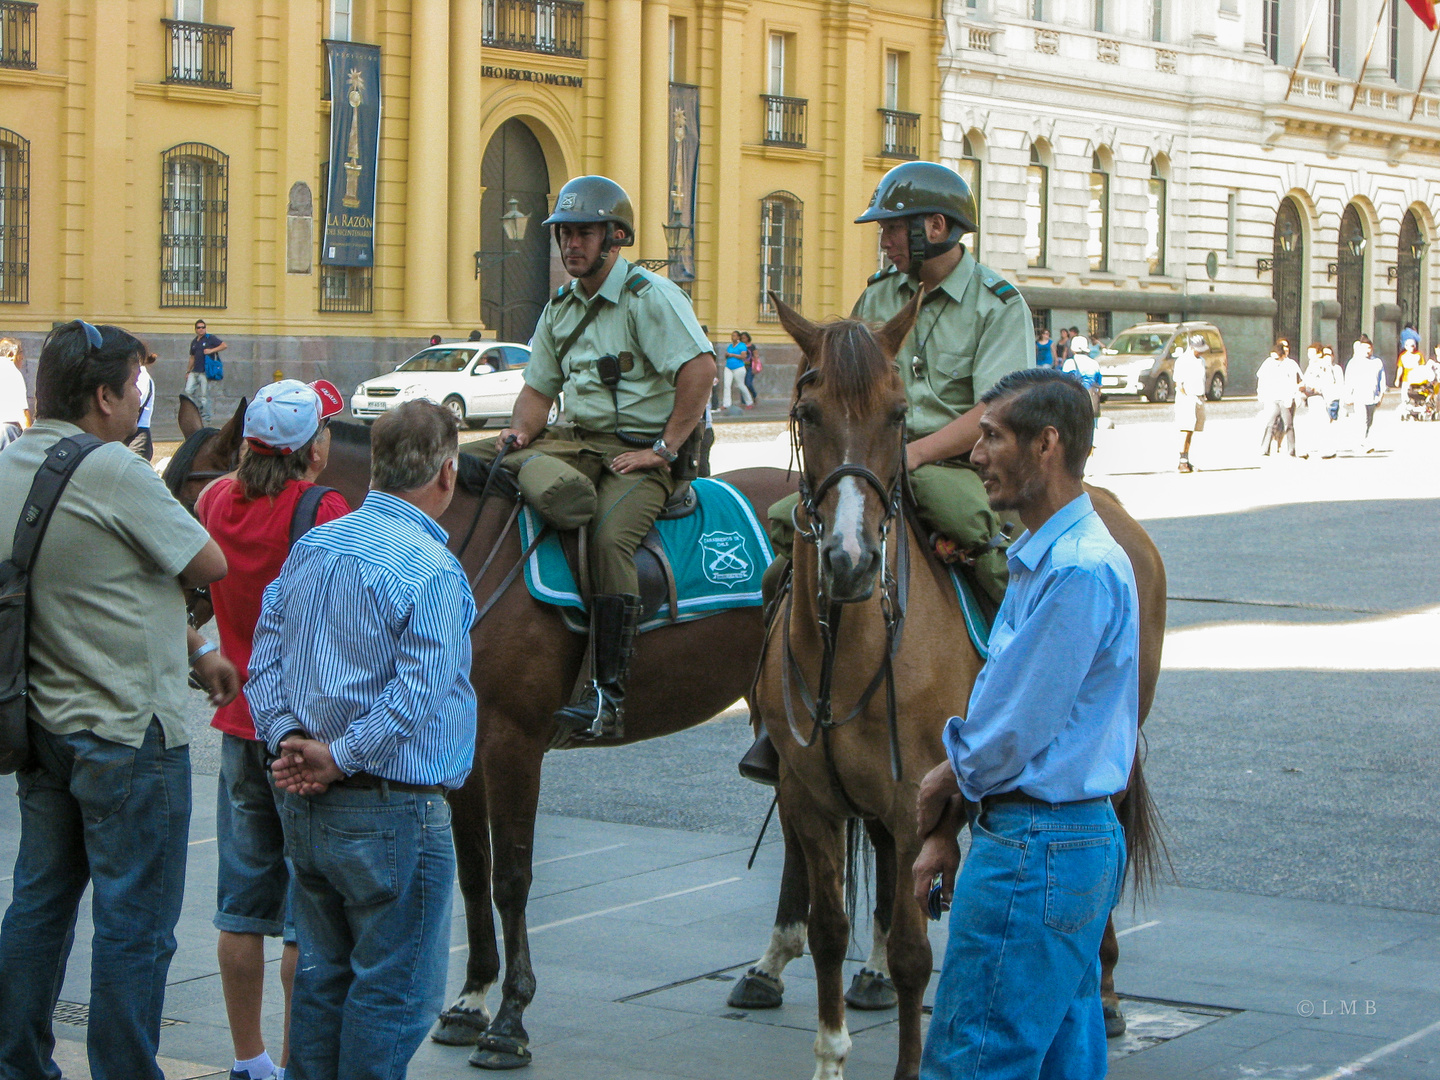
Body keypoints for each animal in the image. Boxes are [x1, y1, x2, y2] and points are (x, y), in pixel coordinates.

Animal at [169, 397, 806, 1077]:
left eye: (192, 508)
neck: (456, 553)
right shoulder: (458, 753)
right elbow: (474, 874)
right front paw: (471, 1000)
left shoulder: (512, 749)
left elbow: (512, 879)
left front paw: (509, 1020)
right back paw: (771, 968)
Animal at [737, 300, 1163, 1080]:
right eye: (808, 412)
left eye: (899, 413)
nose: (849, 560)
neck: (850, 647)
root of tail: (1105, 503)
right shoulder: (809, 798)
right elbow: (827, 929)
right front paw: (830, 1054)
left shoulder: (915, 800)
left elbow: (914, 955)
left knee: (1102, 836)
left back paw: (1110, 992)